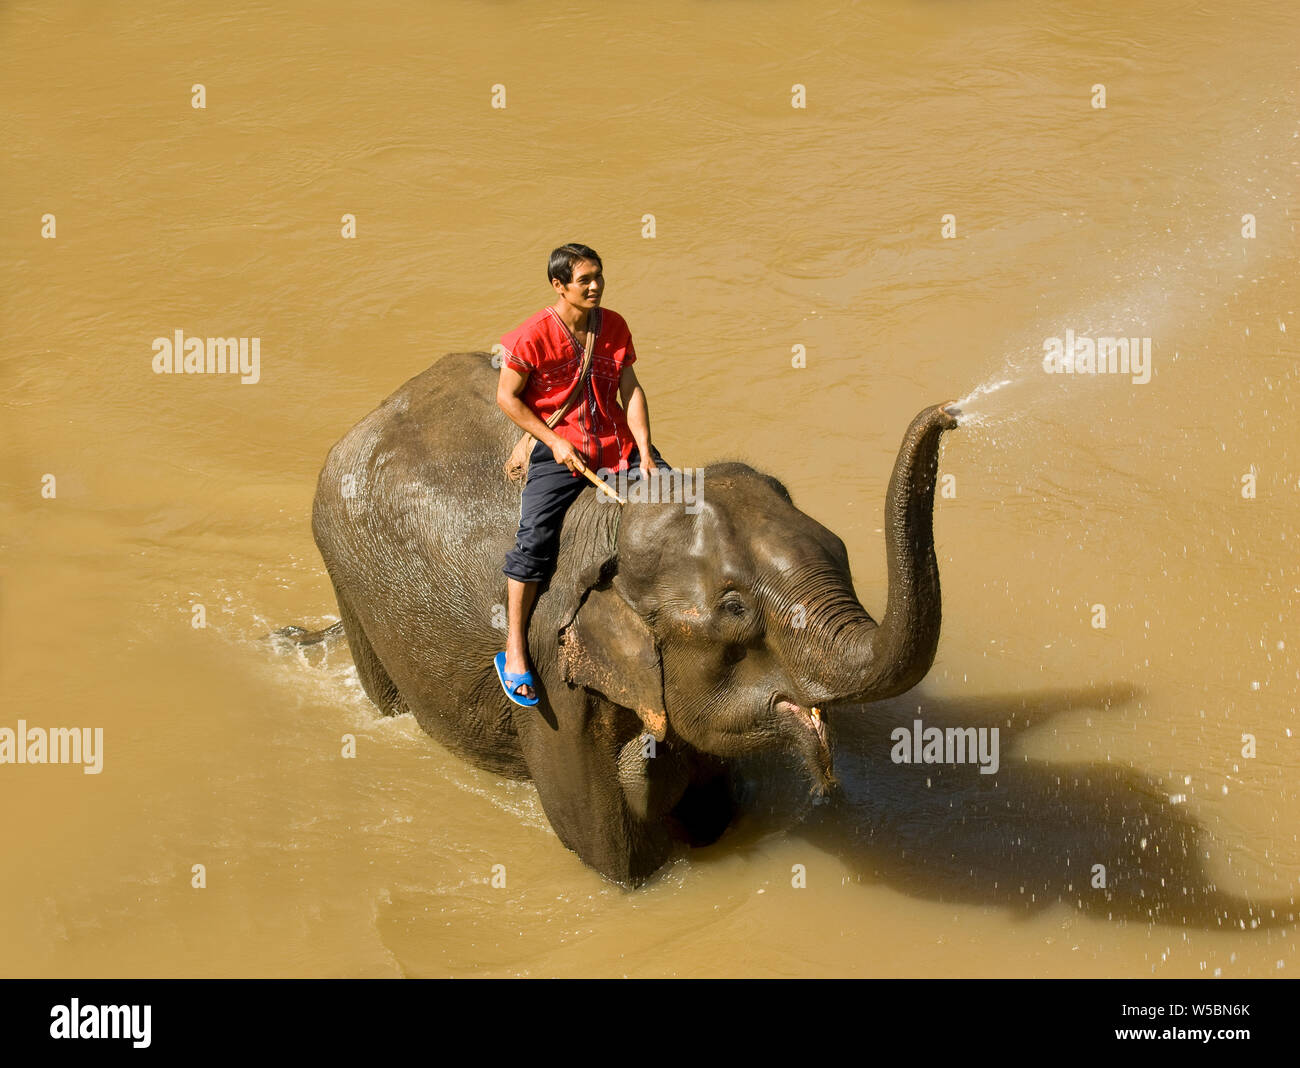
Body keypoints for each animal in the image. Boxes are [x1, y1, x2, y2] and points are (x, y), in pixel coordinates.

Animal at [304, 351, 960, 886]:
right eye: (734, 609)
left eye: (842, 551)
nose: (950, 413)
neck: (618, 519)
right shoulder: (554, 687)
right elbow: (615, 860)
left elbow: (711, 808)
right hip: (344, 576)